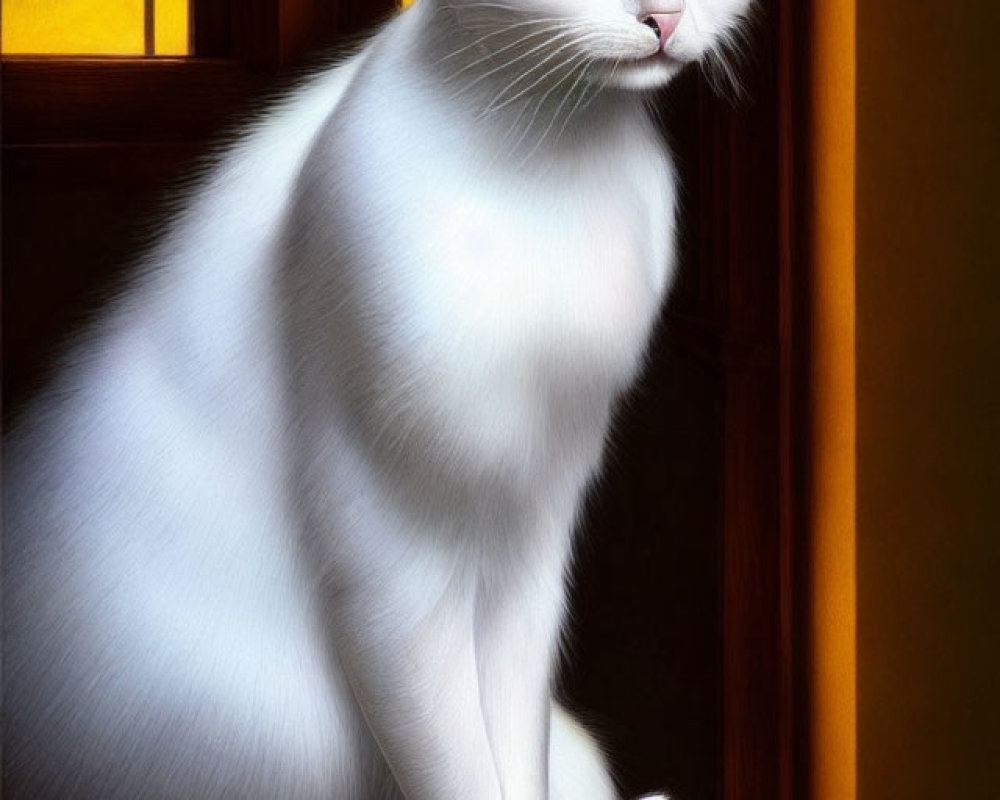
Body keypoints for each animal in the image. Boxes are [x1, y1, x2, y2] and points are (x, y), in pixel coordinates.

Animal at [0, 0, 752, 796]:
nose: (664, 18)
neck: (552, 152)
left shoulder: (531, 539)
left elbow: (517, 743)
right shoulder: (396, 572)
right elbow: (455, 765)